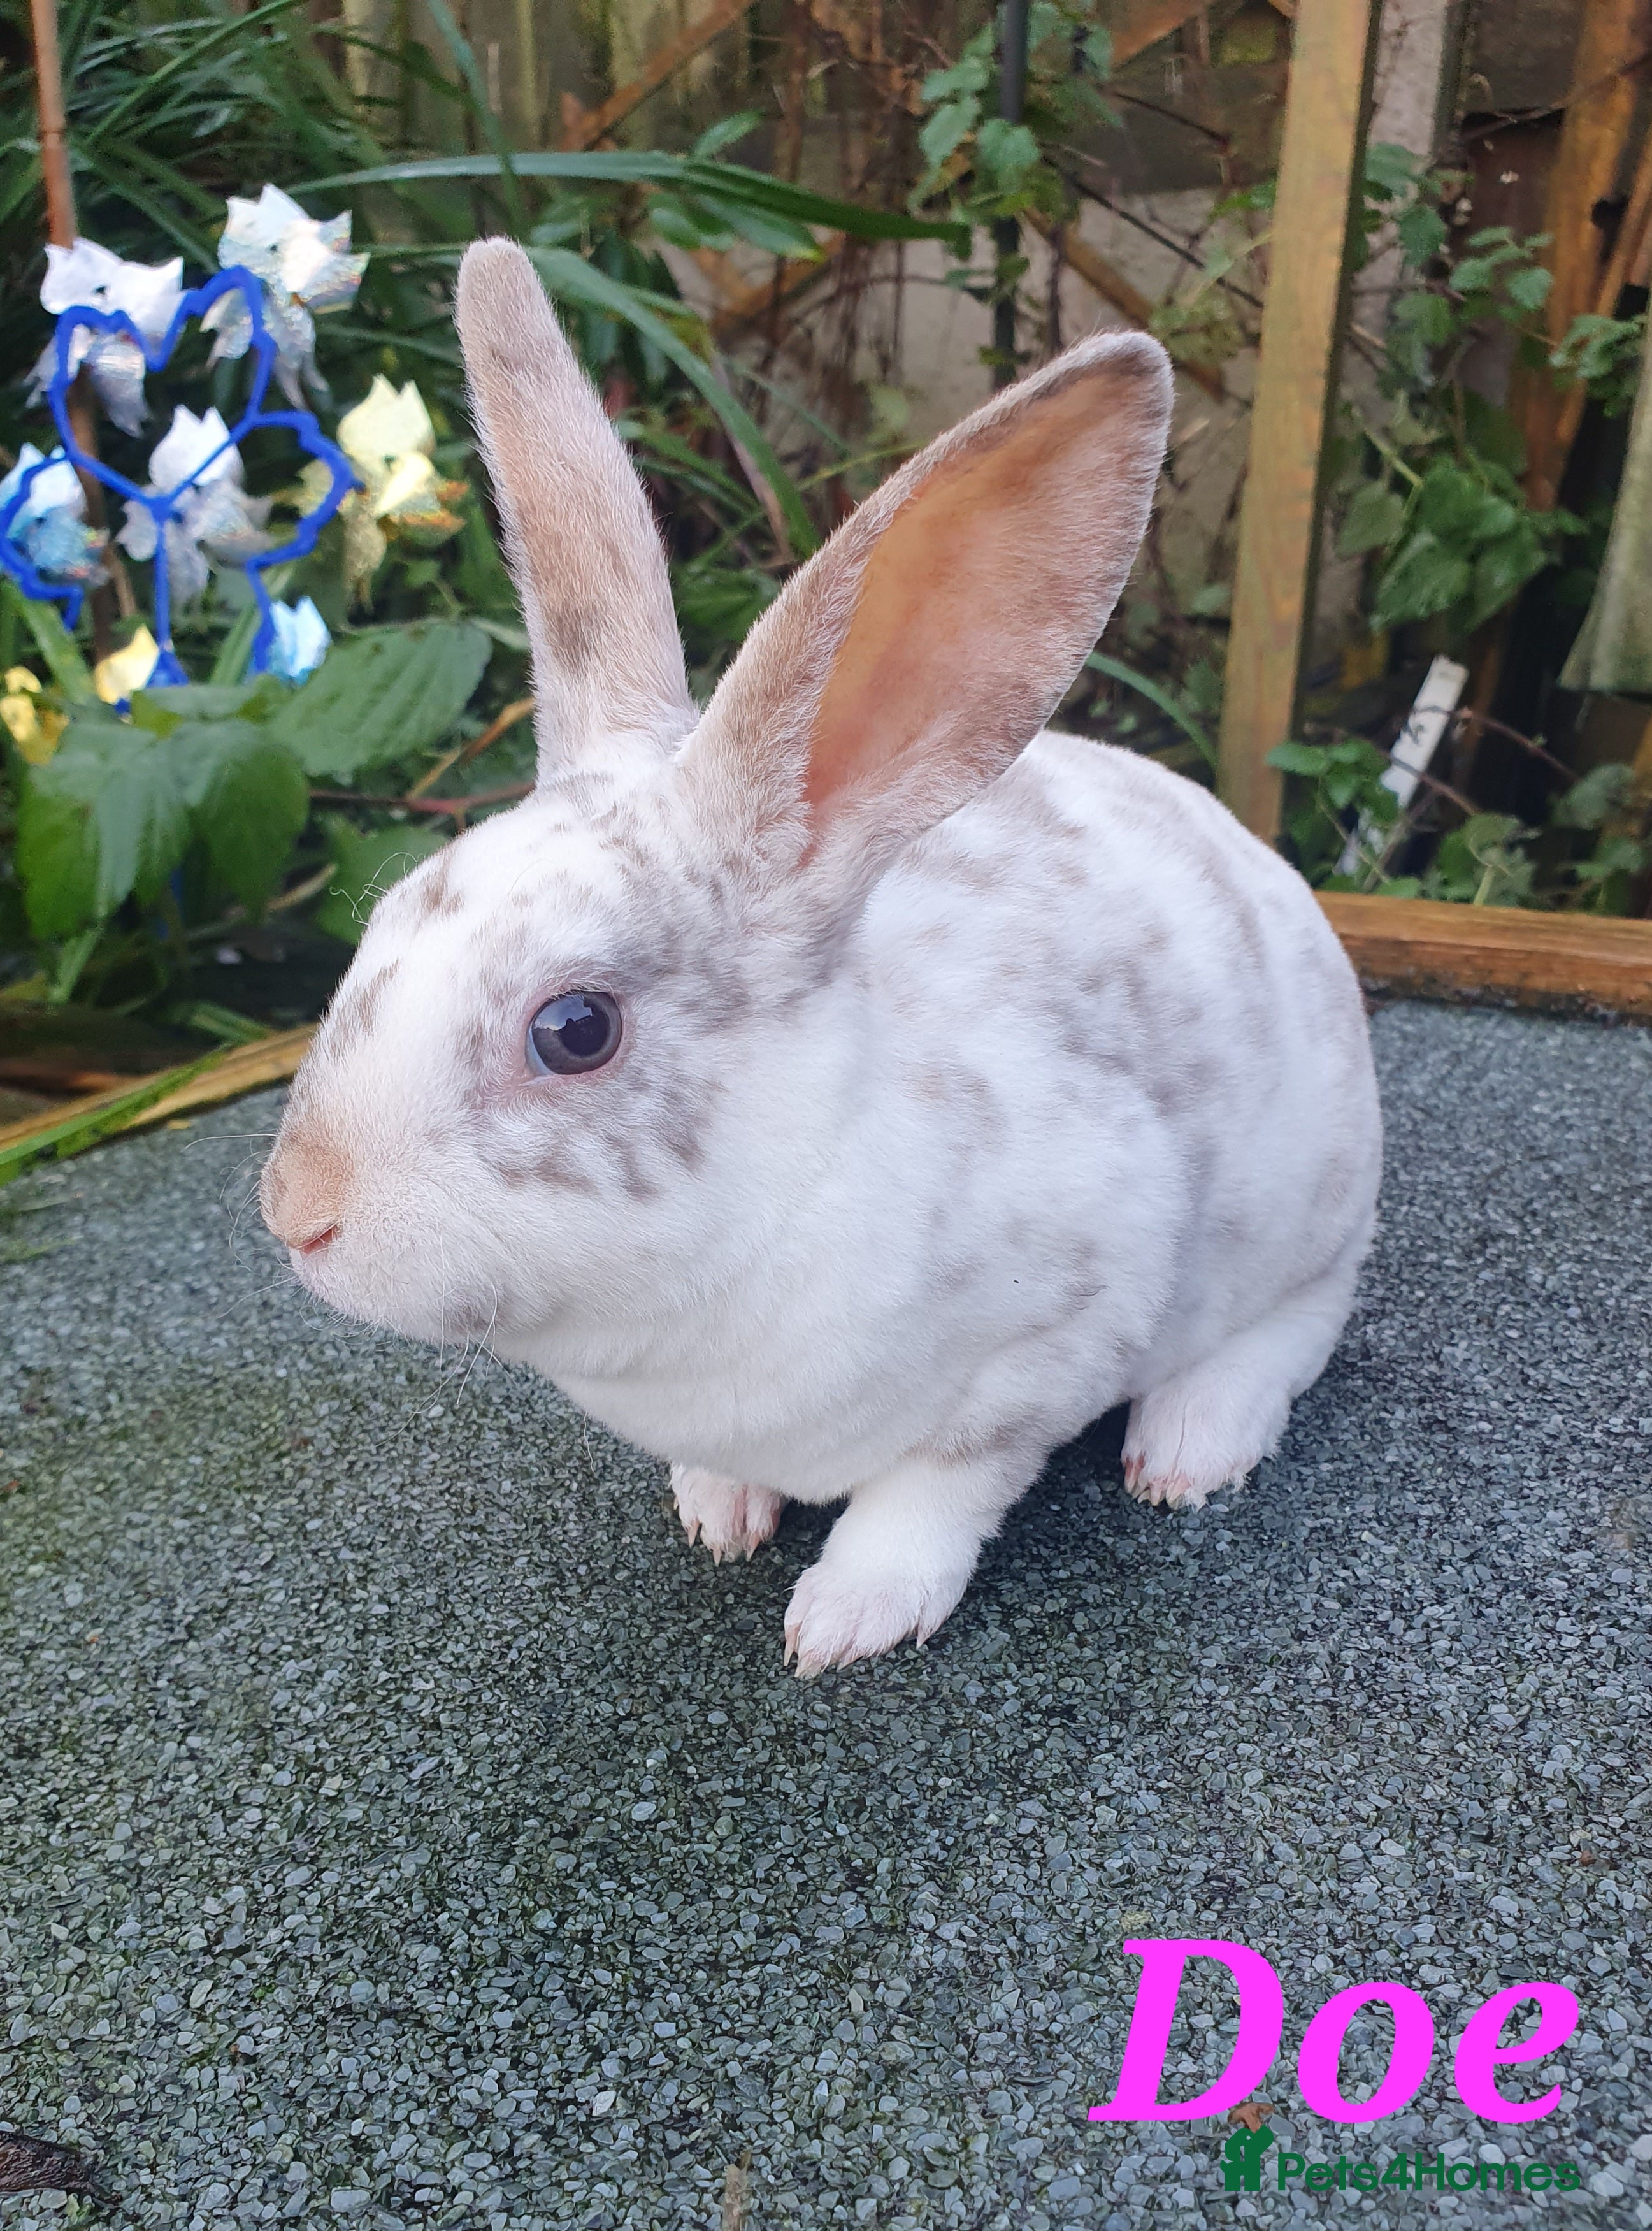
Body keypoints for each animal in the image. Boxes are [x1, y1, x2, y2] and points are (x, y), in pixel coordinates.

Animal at [261, 237, 1382, 1677]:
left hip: (1307, 1221)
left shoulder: (1047, 1348)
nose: (296, 1209)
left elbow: (936, 1492)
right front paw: (718, 1511)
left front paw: (845, 1618)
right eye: (387, 918)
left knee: (1290, 1332)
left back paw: (1189, 1447)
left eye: (575, 1029)